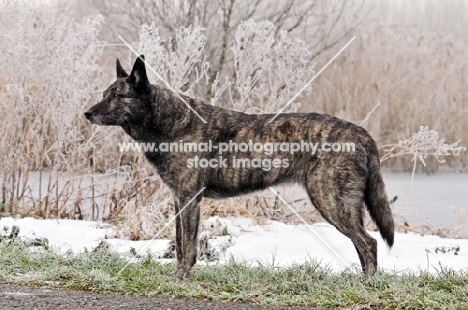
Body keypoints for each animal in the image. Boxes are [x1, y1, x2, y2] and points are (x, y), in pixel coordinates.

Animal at [85, 55, 394, 278]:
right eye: (105, 94)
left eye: (117, 96)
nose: (87, 113)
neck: (171, 122)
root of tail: (360, 132)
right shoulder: (179, 200)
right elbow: (180, 244)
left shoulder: (189, 199)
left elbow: (187, 246)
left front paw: (180, 278)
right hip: (342, 207)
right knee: (362, 244)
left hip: (331, 203)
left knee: (368, 243)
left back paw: (368, 284)